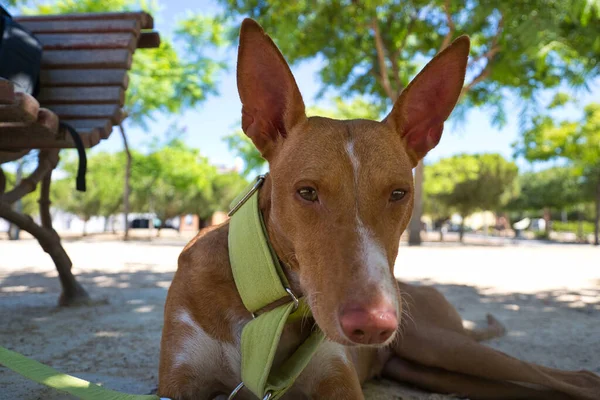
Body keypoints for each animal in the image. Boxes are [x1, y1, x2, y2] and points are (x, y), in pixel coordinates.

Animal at [158, 18, 600, 400]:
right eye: (306, 192)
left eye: (399, 193)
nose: (373, 325)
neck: (263, 310)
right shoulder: (179, 382)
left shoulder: (339, 380)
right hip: (431, 368)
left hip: (440, 343)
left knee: (578, 377)